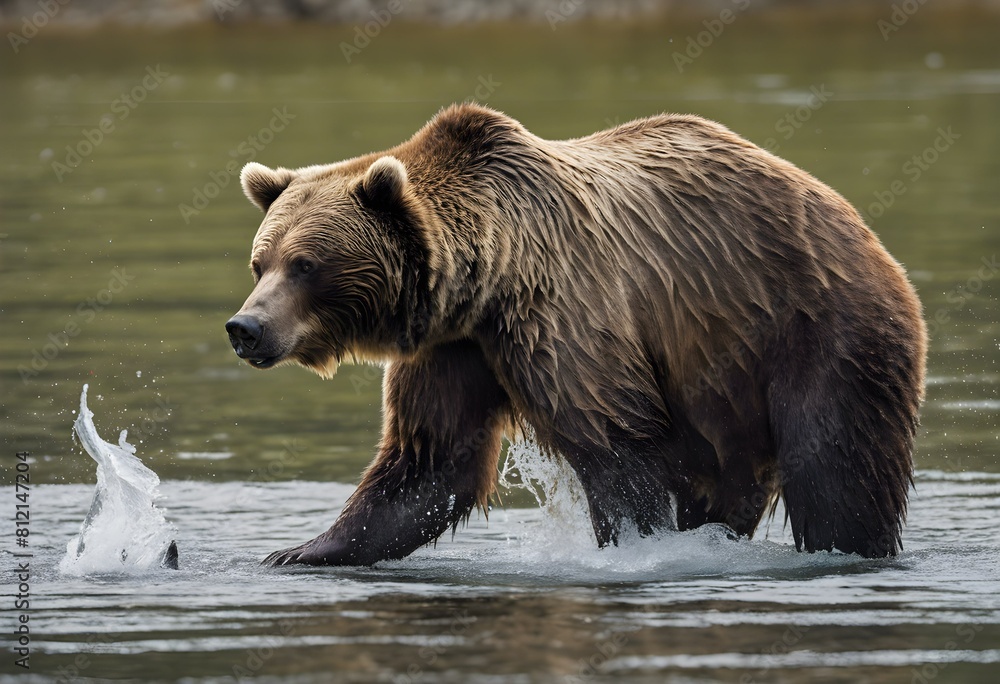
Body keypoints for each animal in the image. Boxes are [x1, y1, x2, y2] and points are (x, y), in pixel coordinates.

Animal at [225, 103, 927, 566]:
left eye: (306, 265)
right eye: (261, 262)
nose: (246, 327)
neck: (483, 283)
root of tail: (854, 222)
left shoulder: (561, 316)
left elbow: (618, 446)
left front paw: (633, 547)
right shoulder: (454, 349)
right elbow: (429, 461)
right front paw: (296, 551)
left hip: (815, 326)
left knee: (838, 467)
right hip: (723, 380)